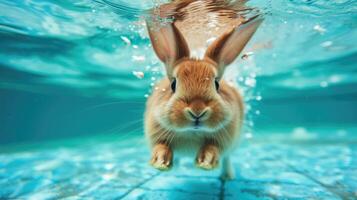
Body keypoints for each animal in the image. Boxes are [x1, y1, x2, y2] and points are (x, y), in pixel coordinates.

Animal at [143, 0, 262, 180]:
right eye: (173, 84)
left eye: (217, 84)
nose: (197, 111)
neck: (191, 133)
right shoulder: (157, 133)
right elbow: (161, 146)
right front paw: (160, 163)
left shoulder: (223, 140)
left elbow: (213, 148)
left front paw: (206, 163)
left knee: (227, 158)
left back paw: (227, 176)